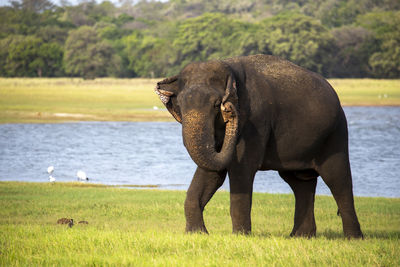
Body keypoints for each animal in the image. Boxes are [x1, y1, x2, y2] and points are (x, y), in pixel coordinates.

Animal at [155, 54, 364, 239]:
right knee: (300, 182)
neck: (229, 67)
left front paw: (240, 237)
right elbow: (212, 171)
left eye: (216, 104)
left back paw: (353, 238)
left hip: (335, 134)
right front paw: (197, 234)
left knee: (338, 179)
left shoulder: (255, 121)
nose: (229, 111)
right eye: (180, 104)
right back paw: (300, 236)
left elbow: (241, 169)